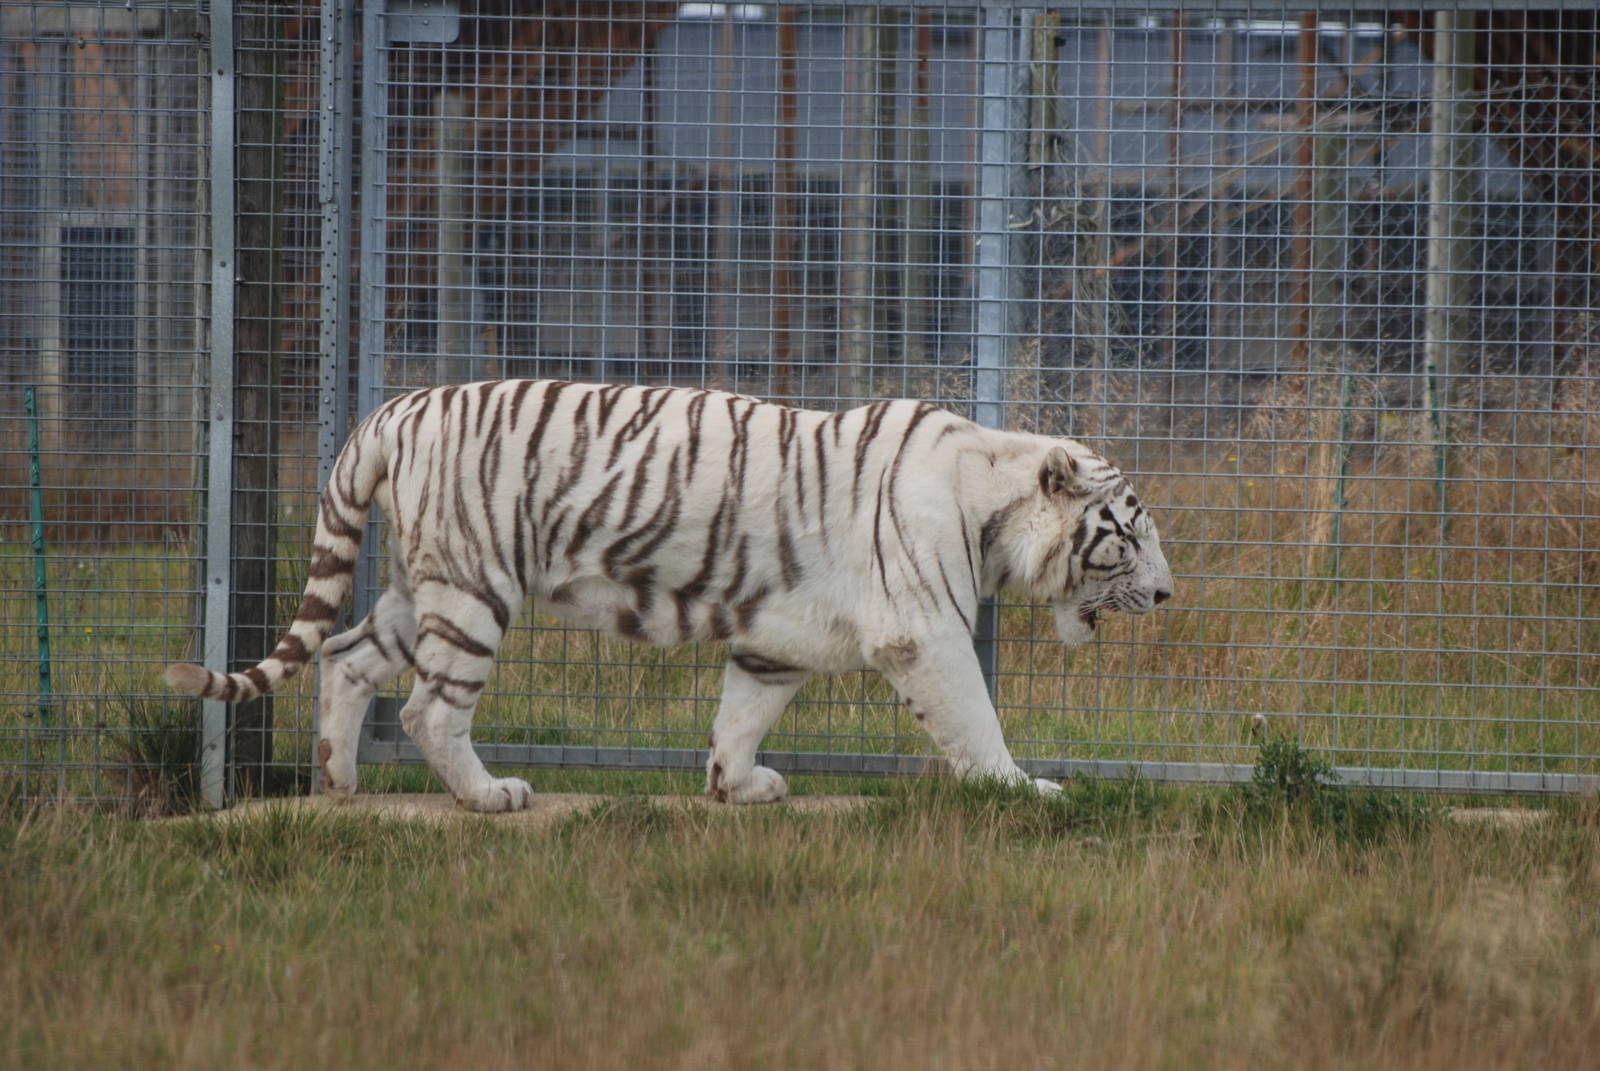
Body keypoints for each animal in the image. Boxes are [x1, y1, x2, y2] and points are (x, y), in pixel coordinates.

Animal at [165, 379, 1173, 811]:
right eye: (1128, 534)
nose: (1166, 595)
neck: (989, 498)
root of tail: (391, 410)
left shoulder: (777, 634)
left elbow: (742, 712)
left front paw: (737, 784)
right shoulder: (923, 632)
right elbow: (974, 716)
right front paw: (1026, 788)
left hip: (424, 585)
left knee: (344, 657)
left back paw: (338, 781)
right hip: (476, 588)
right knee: (427, 708)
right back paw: (490, 795)